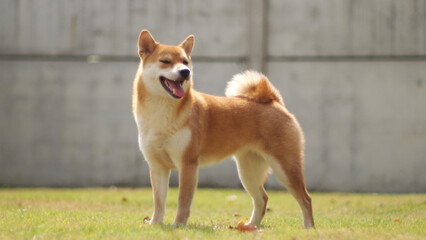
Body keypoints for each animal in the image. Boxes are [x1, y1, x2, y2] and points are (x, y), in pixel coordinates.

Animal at [131, 29, 314, 229]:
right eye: (165, 61)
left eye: (185, 62)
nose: (185, 72)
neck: (161, 113)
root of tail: (275, 102)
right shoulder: (158, 167)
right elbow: (158, 201)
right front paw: (155, 224)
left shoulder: (187, 164)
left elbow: (182, 201)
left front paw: (178, 225)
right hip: (248, 172)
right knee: (262, 199)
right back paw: (250, 226)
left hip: (286, 167)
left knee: (305, 198)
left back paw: (308, 227)